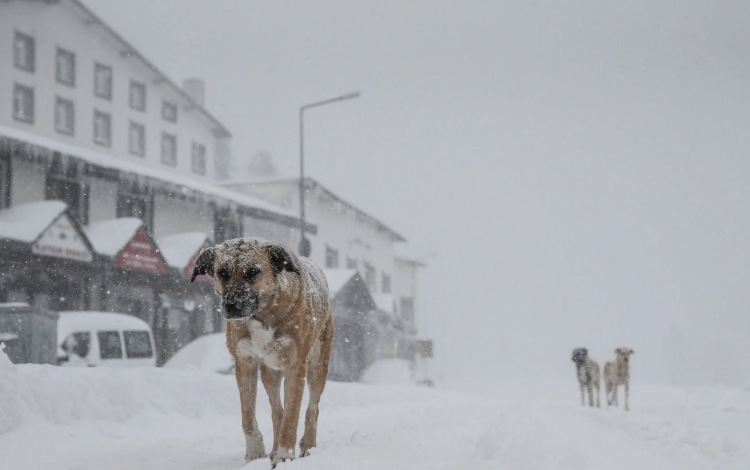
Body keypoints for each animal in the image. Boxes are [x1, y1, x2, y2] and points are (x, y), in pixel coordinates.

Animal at [191, 239, 334, 466]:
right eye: (222, 272)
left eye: (252, 272)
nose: (231, 305)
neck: (262, 315)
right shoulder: (245, 363)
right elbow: (248, 414)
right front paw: (256, 450)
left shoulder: (296, 367)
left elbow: (292, 415)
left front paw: (285, 455)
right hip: (270, 374)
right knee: (277, 410)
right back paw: (274, 450)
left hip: (317, 366)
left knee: (312, 407)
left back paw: (308, 445)